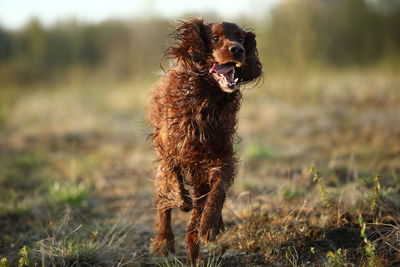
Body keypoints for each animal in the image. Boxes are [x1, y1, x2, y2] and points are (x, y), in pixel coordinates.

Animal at [147, 18, 262, 264]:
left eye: (240, 38)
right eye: (216, 38)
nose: (238, 50)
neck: (206, 98)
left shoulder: (221, 156)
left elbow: (219, 188)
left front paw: (210, 224)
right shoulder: (170, 149)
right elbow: (173, 178)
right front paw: (181, 199)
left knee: (193, 221)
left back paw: (195, 251)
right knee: (163, 202)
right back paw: (164, 241)